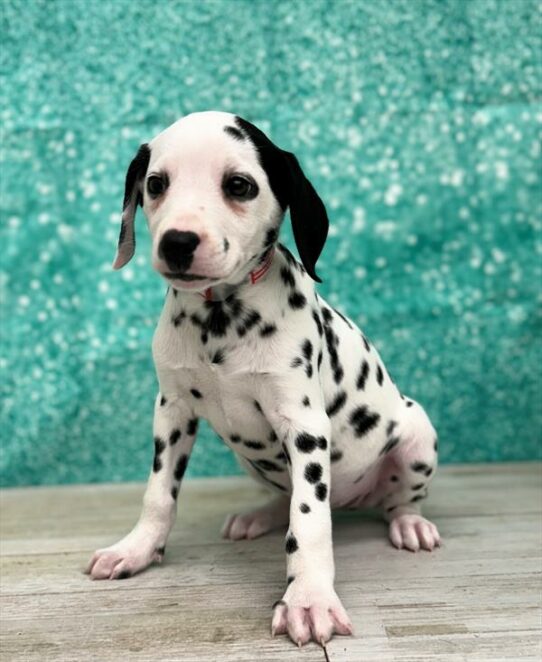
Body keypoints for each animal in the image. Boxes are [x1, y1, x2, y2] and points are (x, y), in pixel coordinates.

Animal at [86, 113, 442, 648]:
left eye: (239, 185)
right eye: (155, 184)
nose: (177, 242)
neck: (220, 317)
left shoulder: (304, 426)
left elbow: (309, 521)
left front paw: (308, 599)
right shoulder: (171, 412)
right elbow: (158, 494)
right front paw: (136, 548)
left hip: (417, 436)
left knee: (396, 501)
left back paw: (410, 524)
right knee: (282, 496)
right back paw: (258, 516)